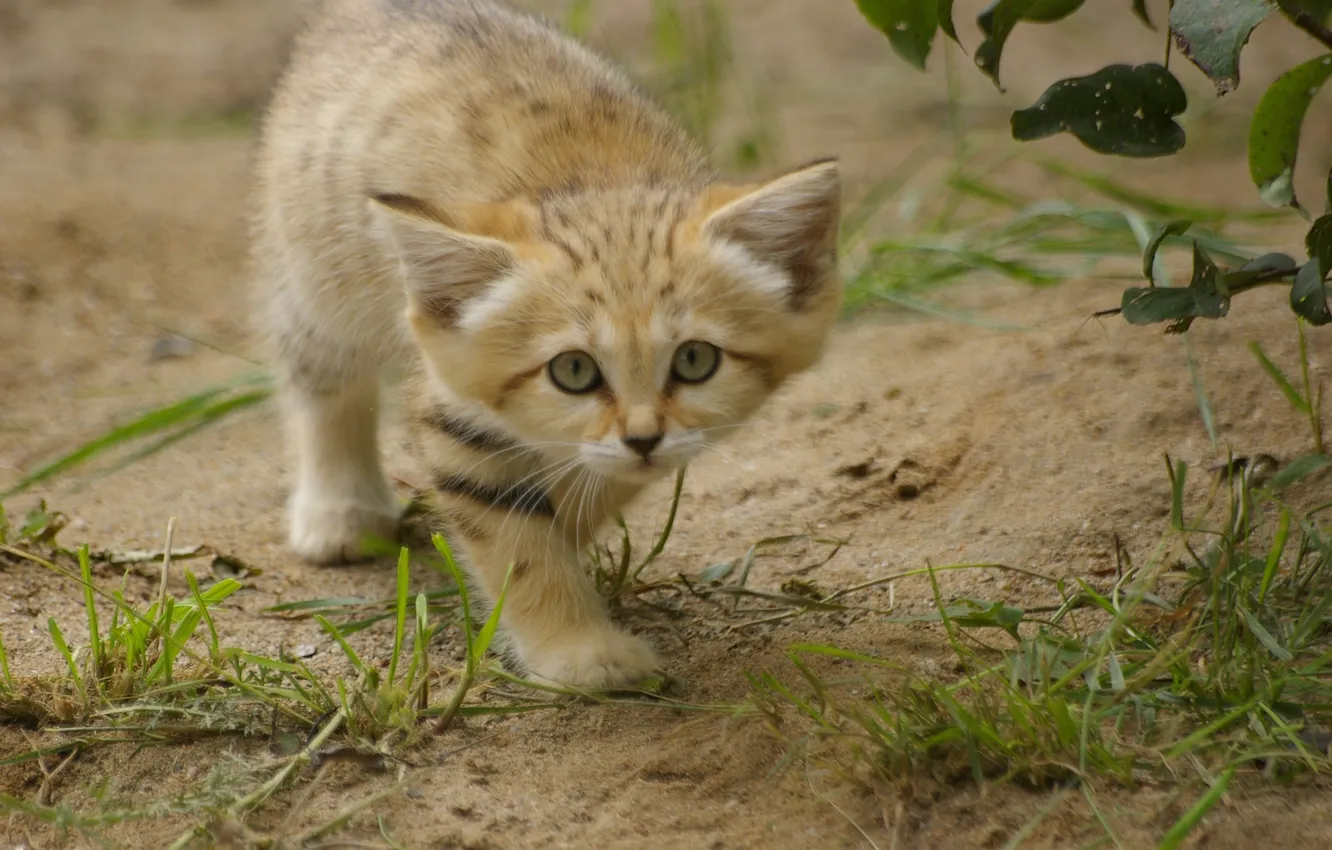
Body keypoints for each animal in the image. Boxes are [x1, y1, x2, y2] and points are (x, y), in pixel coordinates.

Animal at [253, 0, 836, 687]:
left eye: (695, 360)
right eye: (574, 371)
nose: (644, 438)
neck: (602, 180)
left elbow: (586, 487)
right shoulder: (458, 413)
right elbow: (519, 547)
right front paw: (581, 652)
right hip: (318, 274)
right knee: (321, 379)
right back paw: (339, 511)